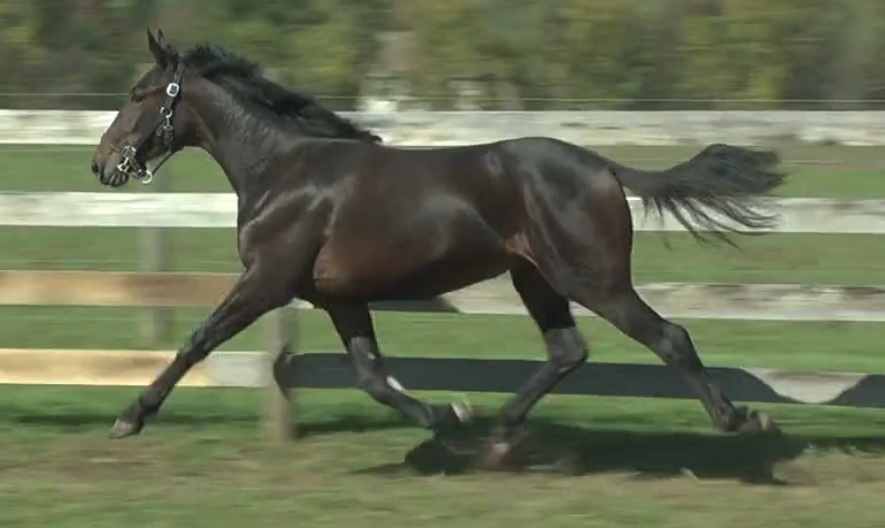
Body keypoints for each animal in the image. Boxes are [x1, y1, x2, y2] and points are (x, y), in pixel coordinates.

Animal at [91, 30, 787, 460]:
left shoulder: (267, 281)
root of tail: (604, 167)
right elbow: (372, 376)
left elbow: (198, 340)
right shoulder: (339, 297)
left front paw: (129, 417)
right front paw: (448, 418)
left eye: (138, 95)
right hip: (536, 278)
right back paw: (498, 431)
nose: (102, 165)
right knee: (568, 350)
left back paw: (743, 419)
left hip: (594, 279)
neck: (283, 172)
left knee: (670, 337)